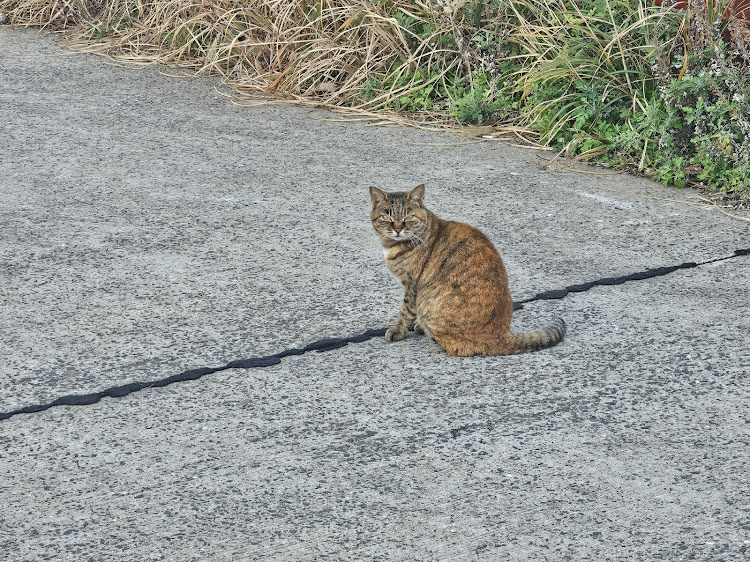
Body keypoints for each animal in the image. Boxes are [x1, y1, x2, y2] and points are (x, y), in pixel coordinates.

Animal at [374, 184, 568, 354]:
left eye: (408, 218)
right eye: (387, 218)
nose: (398, 229)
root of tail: (502, 334)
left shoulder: (412, 285)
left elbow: (406, 311)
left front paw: (398, 329)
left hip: (428, 303)